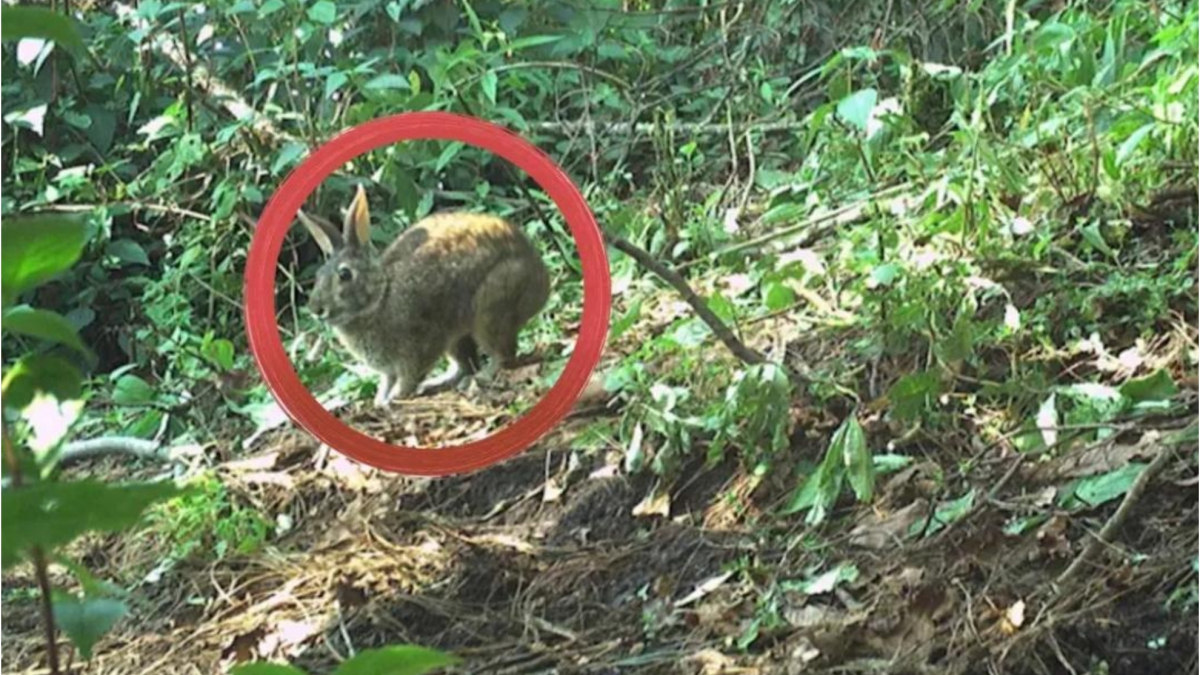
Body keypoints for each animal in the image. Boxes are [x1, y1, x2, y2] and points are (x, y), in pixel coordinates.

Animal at [297, 184, 551, 408]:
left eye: (345, 274)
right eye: (318, 275)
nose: (316, 309)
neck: (381, 297)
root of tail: (541, 282)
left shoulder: (417, 348)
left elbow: (408, 378)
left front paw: (393, 399)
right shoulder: (391, 368)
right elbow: (387, 381)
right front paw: (380, 399)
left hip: (491, 309)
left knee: (503, 354)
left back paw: (481, 378)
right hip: (457, 336)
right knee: (466, 364)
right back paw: (436, 383)